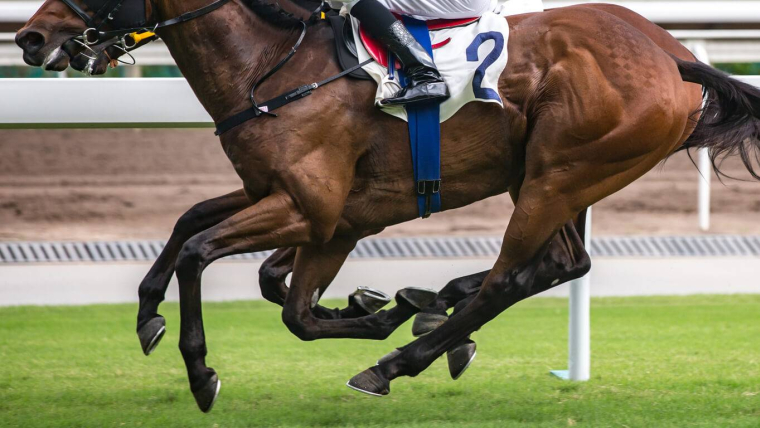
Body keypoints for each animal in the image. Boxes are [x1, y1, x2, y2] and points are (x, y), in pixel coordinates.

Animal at [17, 0, 760, 412]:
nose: (30, 38)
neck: (277, 66)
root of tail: (671, 54)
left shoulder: (314, 211)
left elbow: (210, 257)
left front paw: (201, 371)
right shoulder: (299, 204)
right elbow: (199, 228)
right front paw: (149, 312)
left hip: (561, 174)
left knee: (513, 277)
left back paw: (398, 359)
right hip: (554, 176)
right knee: (560, 264)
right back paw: (431, 309)